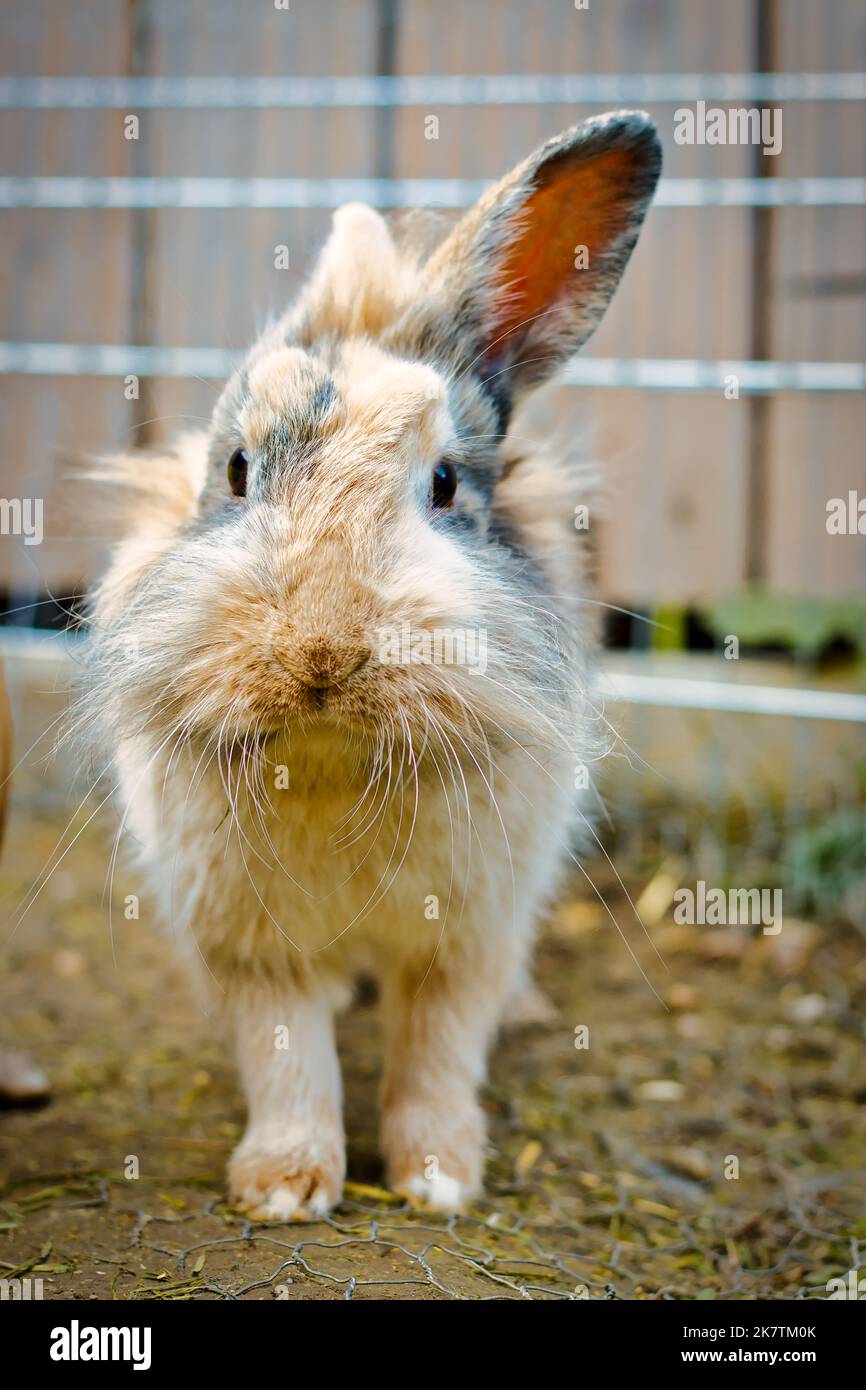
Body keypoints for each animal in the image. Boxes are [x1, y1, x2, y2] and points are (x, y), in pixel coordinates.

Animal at [83, 111, 664, 1217]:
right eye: (236, 471)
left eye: (442, 485)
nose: (321, 650)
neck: (329, 753)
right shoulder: (252, 949)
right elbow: (288, 1060)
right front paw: (284, 1186)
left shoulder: (464, 941)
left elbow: (435, 1053)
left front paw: (438, 1179)